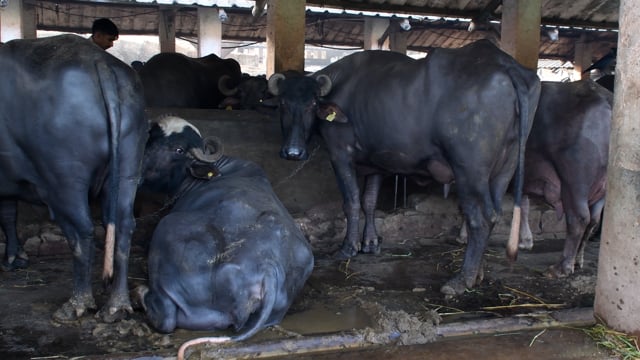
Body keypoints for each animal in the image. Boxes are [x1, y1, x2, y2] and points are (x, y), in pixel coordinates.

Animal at [0, 34, 148, 320]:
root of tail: (99, 61)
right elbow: (9, 214)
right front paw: (14, 257)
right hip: (127, 169)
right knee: (123, 226)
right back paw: (116, 305)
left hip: (64, 177)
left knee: (81, 232)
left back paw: (77, 303)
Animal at [135, 116, 316, 344]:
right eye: (150, 139)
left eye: (178, 149)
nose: (138, 173)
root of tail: (268, 267)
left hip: (166, 231)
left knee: (166, 319)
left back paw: (140, 292)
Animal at [268, 40, 544, 296]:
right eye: (282, 104)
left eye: (312, 105)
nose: (293, 152)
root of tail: (506, 65)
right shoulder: (376, 161)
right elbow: (369, 201)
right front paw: (370, 243)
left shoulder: (339, 154)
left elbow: (352, 201)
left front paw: (348, 247)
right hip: (505, 166)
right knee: (495, 212)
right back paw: (477, 273)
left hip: (470, 170)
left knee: (481, 217)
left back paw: (461, 280)